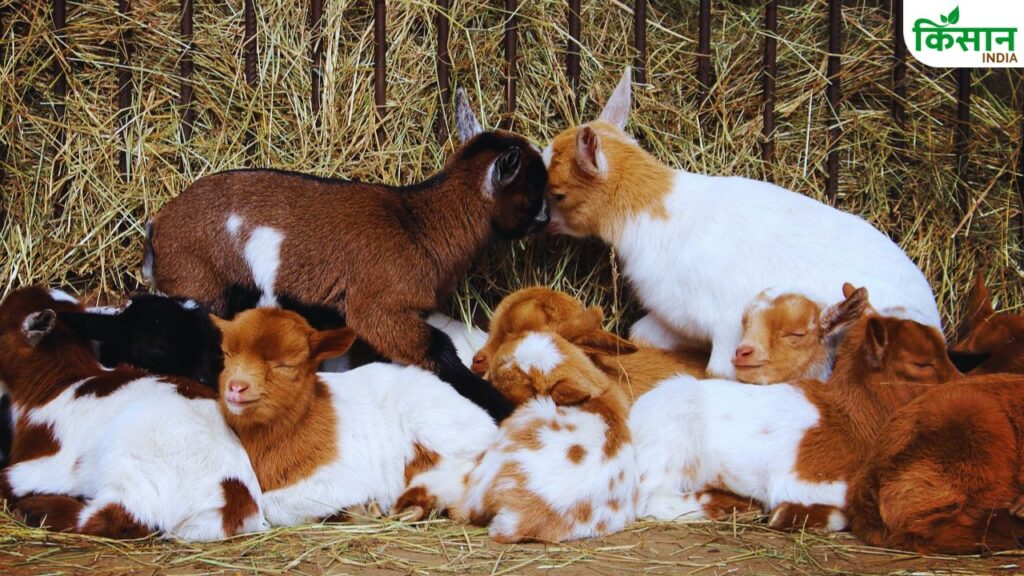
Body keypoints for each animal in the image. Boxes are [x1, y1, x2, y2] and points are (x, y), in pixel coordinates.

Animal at [0, 286, 267, 541]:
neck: (58, 383)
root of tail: (230, 508)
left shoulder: (51, 461)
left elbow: (9, 479)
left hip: (129, 464)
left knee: (112, 516)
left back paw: (34, 509)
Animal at [145, 91, 549, 422]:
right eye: (533, 187)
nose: (545, 218)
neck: (418, 225)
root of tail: (157, 226)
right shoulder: (377, 308)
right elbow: (438, 347)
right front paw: (502, 406)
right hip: (199, 287)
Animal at [211, 308, 496, 526]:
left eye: (287, 364)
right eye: (227, 354)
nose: (236, 387)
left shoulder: (340, 479)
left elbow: (270, 504)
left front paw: (356, 509)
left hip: (440, 429)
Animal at [630, 295, 960, 530]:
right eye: (921, 363)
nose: (961, 382)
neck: (850, 418)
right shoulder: (805, 477)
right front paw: (785, 515)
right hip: (671, 441)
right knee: (650, 499)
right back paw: (726, 504)